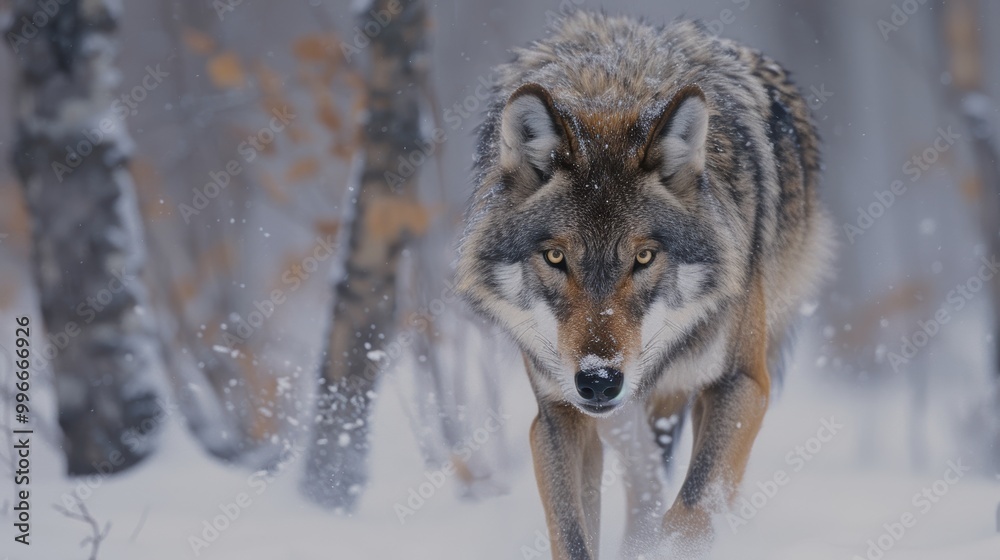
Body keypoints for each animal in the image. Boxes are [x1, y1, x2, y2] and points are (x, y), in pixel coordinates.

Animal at [456, 11, 832, 558]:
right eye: (556, 257)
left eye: (643, 257)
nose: (597, 379)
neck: (614, 89)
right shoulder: (557, 414)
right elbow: (573, 536)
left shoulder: (742, 382)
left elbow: (691, 512)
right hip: (621, 417)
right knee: (646, 483)